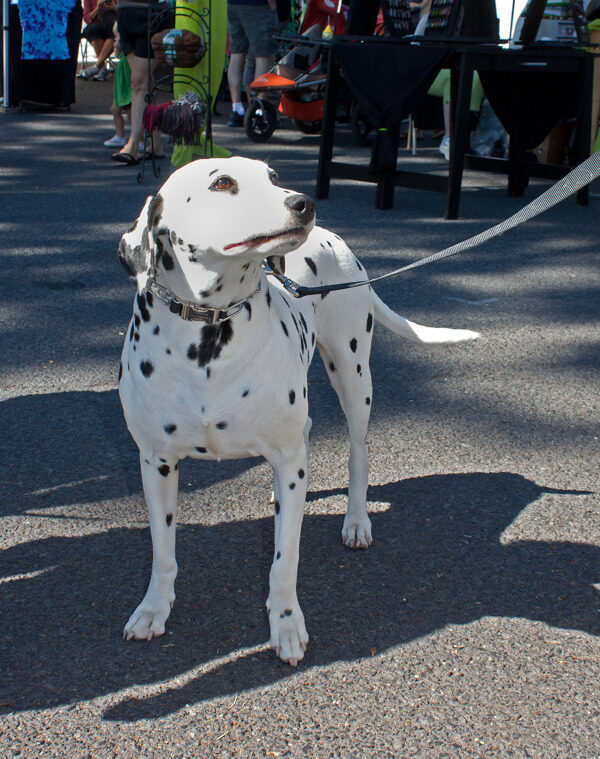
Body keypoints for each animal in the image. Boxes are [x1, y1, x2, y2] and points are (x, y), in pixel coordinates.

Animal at [117, 157, 478, 668]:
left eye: (271, 176)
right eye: (222, 182)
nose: (303, 202)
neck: (209, 335)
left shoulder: (289, 460)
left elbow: (285, 559)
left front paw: (286, 624)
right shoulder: (157, 463)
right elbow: (163, 551)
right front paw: (153, 608)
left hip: (353, 375)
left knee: (358, 454)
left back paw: (356, 520)